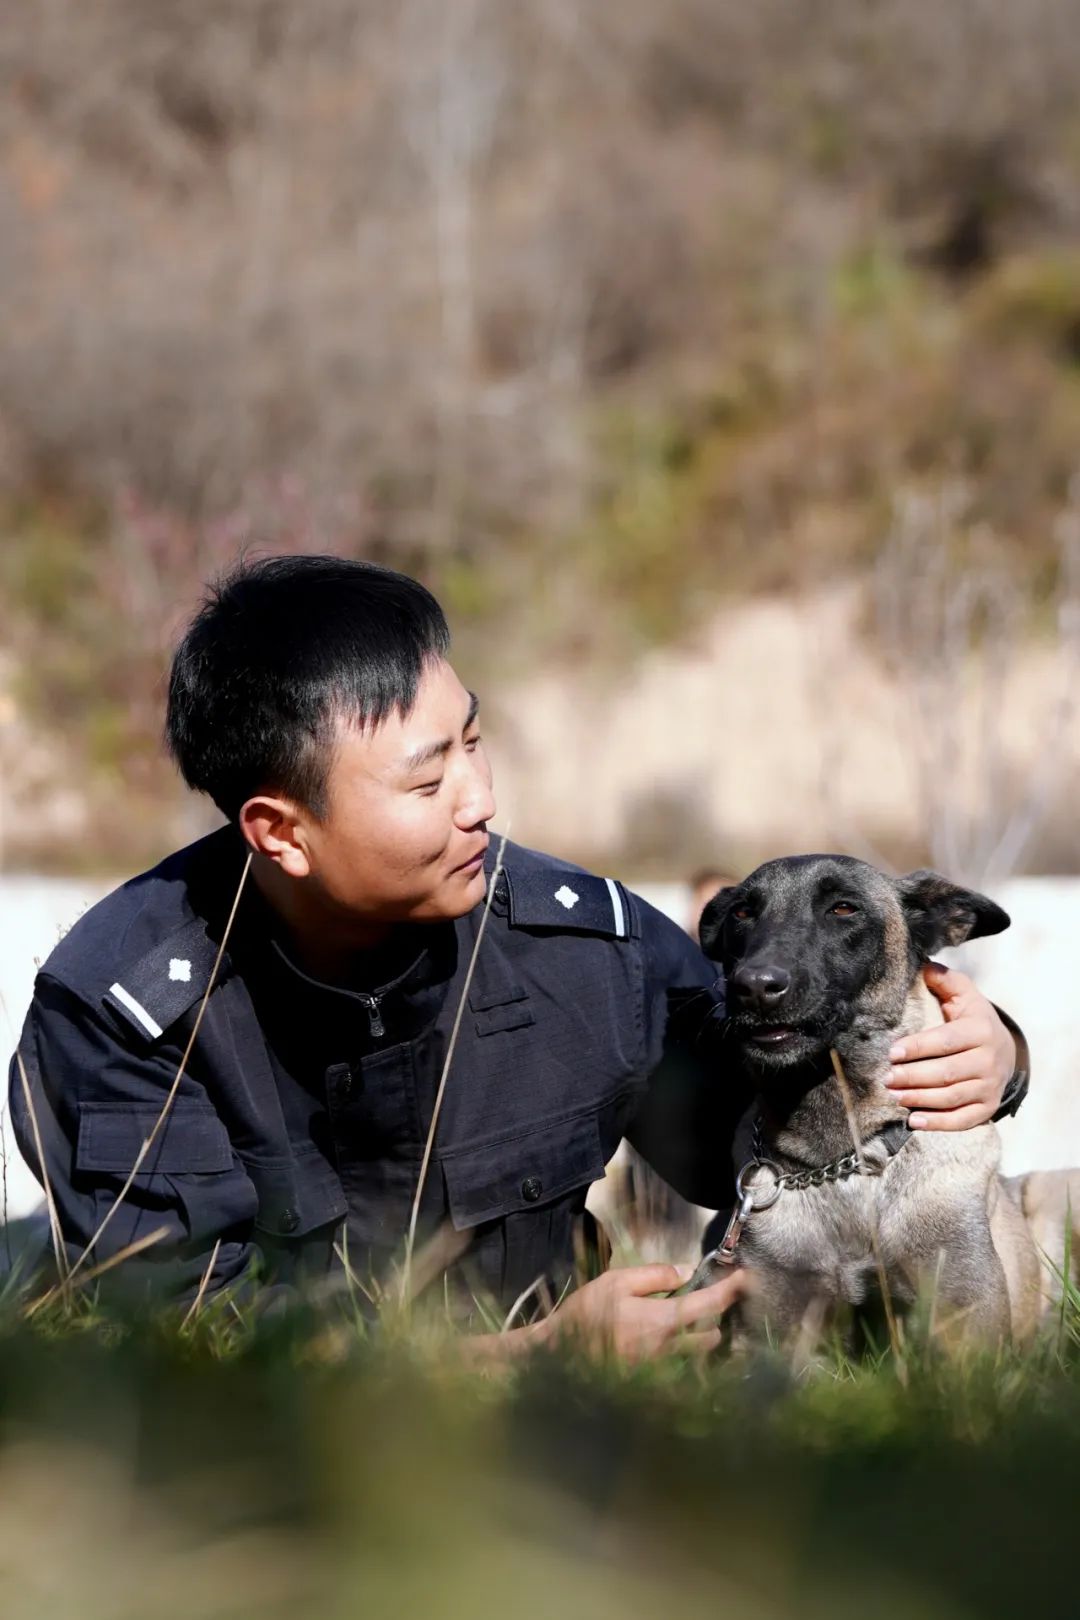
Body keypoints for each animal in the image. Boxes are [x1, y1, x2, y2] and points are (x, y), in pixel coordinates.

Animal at [685, 854, 1080, 1348]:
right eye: (742, 912)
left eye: (843, 908)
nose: (753, 986)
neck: (842, 1160)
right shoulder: (769, 1330)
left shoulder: (964, 1326)